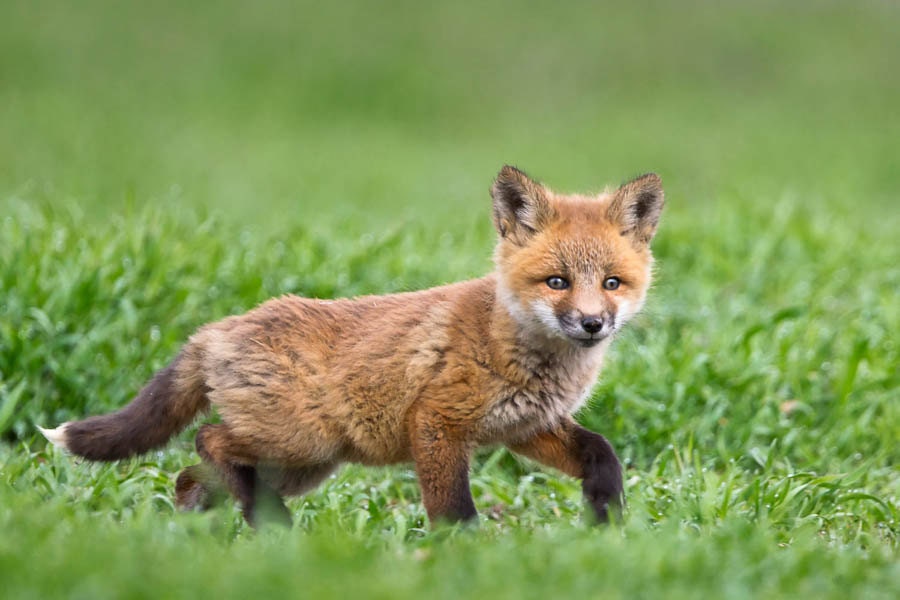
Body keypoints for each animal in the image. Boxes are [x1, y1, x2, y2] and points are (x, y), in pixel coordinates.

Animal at [38, 166, 664, 528]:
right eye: (557, 282)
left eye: (612, 283)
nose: (592, 324)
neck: (518, 351)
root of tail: (217, 328)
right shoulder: (437, 423)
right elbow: (453, 509)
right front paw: (463, 558)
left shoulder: (526, 426)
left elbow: (601, 451)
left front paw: (607, 517)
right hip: (298, 441)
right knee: (207, 440)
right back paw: (268, 524)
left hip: (302, 464)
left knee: (189, 477)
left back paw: (200, 533)